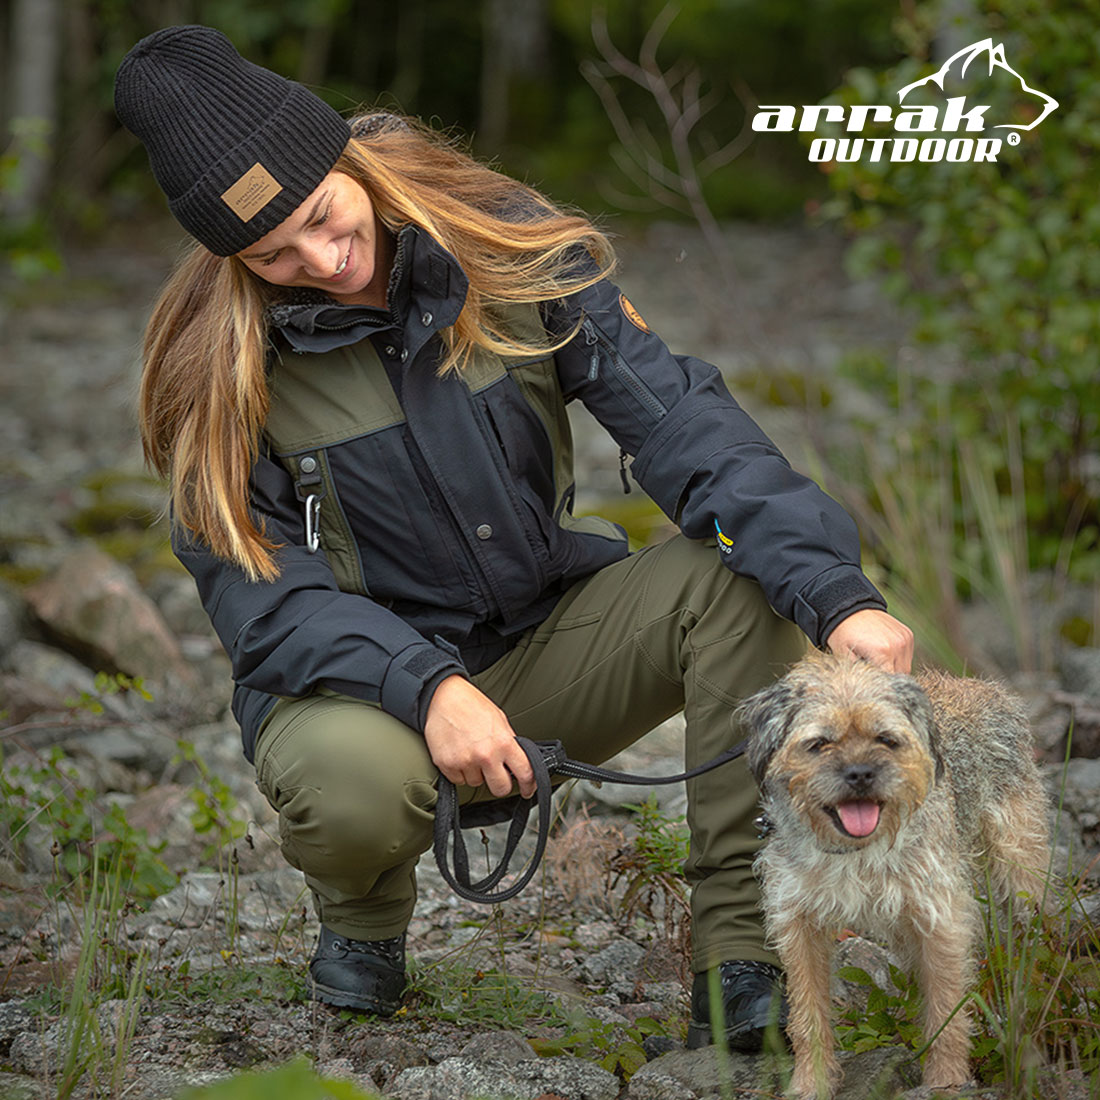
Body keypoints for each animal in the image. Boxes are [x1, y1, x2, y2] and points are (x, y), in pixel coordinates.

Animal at [741, 652, 1051, 1099]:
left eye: (886, 739)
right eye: (819, 744)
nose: (860, 773)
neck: (857, 850)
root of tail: (986, 687)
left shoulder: (940, 917)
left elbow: (946, 1006)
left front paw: (946, 1080)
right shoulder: (799, 924)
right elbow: (808, 1012)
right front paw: (810, 1083)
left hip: (1020, 861)